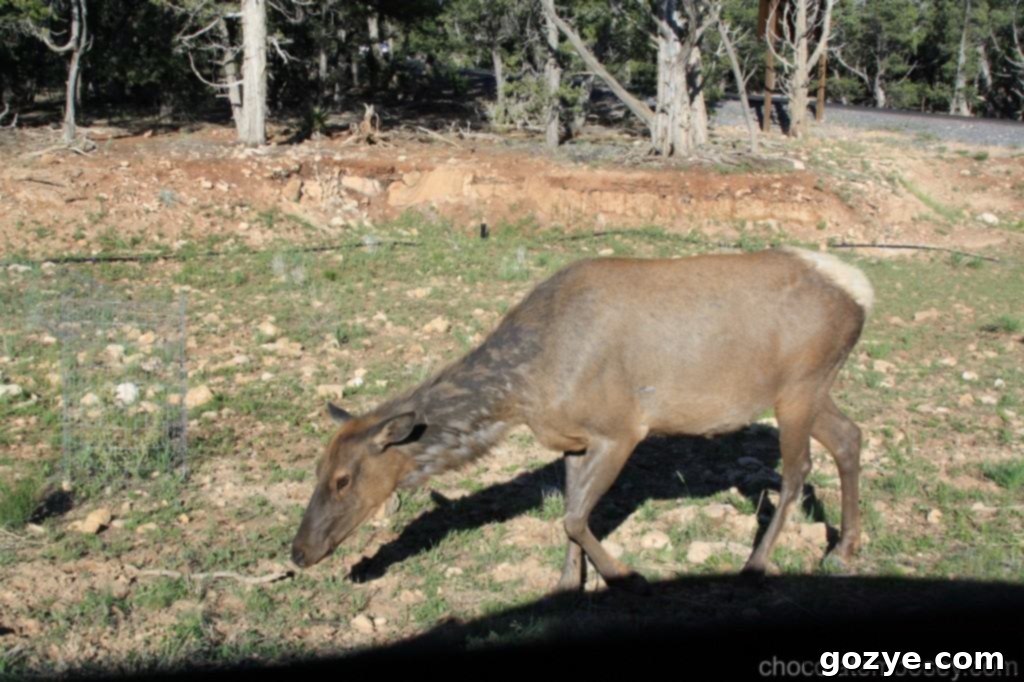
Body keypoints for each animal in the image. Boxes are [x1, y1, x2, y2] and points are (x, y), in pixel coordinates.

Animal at [291, 247, 873, 594]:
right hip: (809, 388)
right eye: (316, 470)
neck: (524, 389)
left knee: (796, 472)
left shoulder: (621, 429)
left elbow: (573, 518)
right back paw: (843, 548)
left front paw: (625, 575)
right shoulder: (571, 440)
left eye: (342, 479)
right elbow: (570, 512)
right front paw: (567, 585)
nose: (299, 552)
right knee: (850, 436)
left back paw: (756, 565)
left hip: (799, 385)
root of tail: (862, 293)